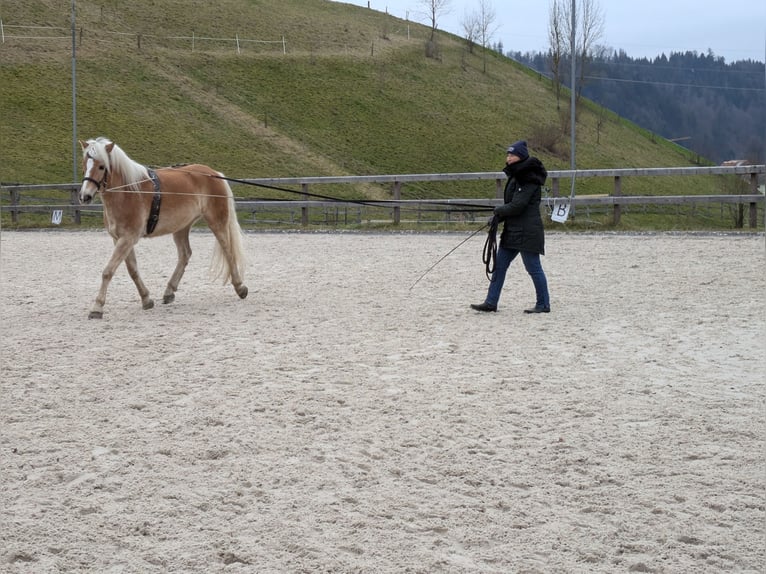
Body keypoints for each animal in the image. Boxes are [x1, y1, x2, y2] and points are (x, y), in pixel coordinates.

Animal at [78, 138, 248, 322]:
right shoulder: (120, 239)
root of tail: (213, 173)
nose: (85, 196)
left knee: (228, 251)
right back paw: (169, 291)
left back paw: (240, 287)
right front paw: (146, 299)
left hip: (217, 222)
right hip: (181, 227)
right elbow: (132, 270)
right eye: (84, 164)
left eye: (102, 166)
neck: (128, 191)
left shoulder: (128, 238)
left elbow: (108, 271)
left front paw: (97, 307)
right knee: (185, 254)